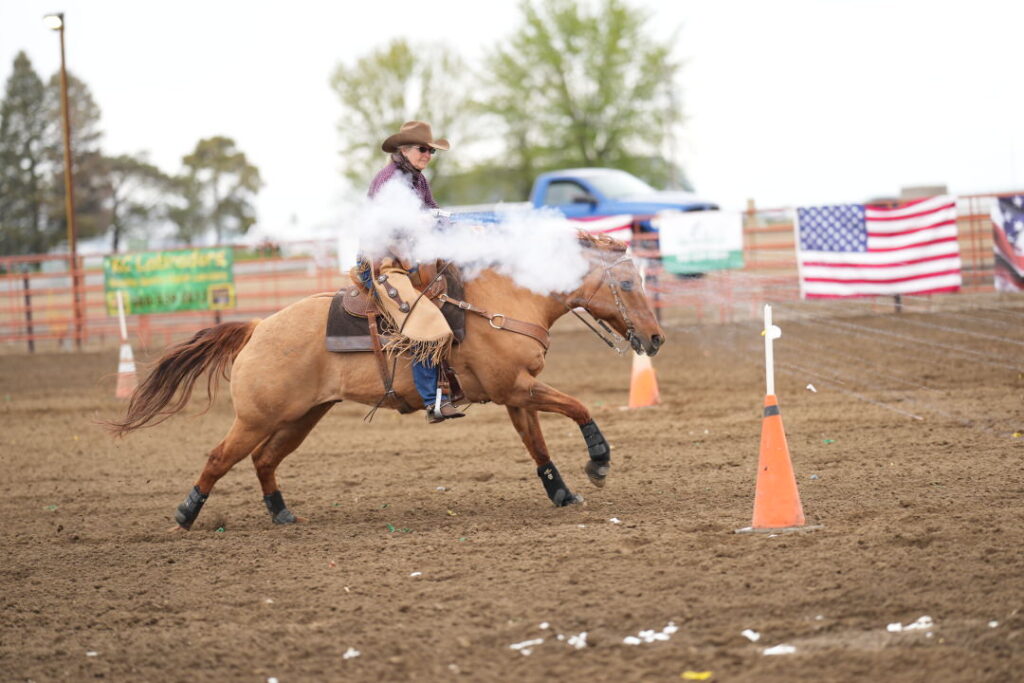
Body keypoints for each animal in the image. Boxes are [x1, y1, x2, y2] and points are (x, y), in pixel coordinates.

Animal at [110, 232, 663, 532]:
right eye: (628, 282)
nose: (656, 338)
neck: (505, 299)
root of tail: (258, 327)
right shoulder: (517, 389)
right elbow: (579, 406)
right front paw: (599, 462)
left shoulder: (515, 394)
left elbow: (538, 446)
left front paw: (563, 493)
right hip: (256, 417)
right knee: (218, 458)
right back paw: (185, 514)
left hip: (302, 416)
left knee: (264, 460)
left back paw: (282, 514)